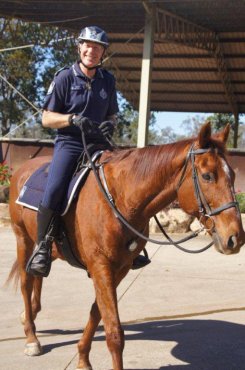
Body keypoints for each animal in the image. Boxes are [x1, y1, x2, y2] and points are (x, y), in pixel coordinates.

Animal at [6, 122, 244, 370]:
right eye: (207, 176)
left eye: (232, 174)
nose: (235, 238)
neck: (119, 198)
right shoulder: (100, 266)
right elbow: (114, 332)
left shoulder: (120, 267)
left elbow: (97, 312)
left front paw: (82, 357)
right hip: (23, 239)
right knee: (26, 283)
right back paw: (31, 337)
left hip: (48, 247)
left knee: (38, 276)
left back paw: (30, 313)